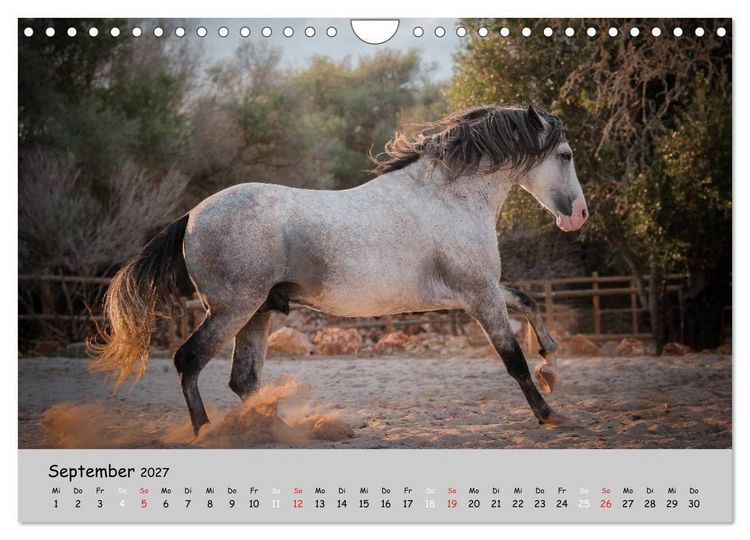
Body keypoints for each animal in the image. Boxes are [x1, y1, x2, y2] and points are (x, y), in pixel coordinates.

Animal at [90, 105, 588, 435]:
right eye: (565, 155)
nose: (579, 215)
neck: (449, 197)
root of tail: (192, 214)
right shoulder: (479, 295)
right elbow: (512, 358)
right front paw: (548, 412)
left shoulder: (479, 290)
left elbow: (528, 303)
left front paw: (551, 368)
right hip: (233, 310)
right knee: (189, 361)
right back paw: (209, 434)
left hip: (256, 313)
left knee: (244, 379)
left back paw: (283, 431)